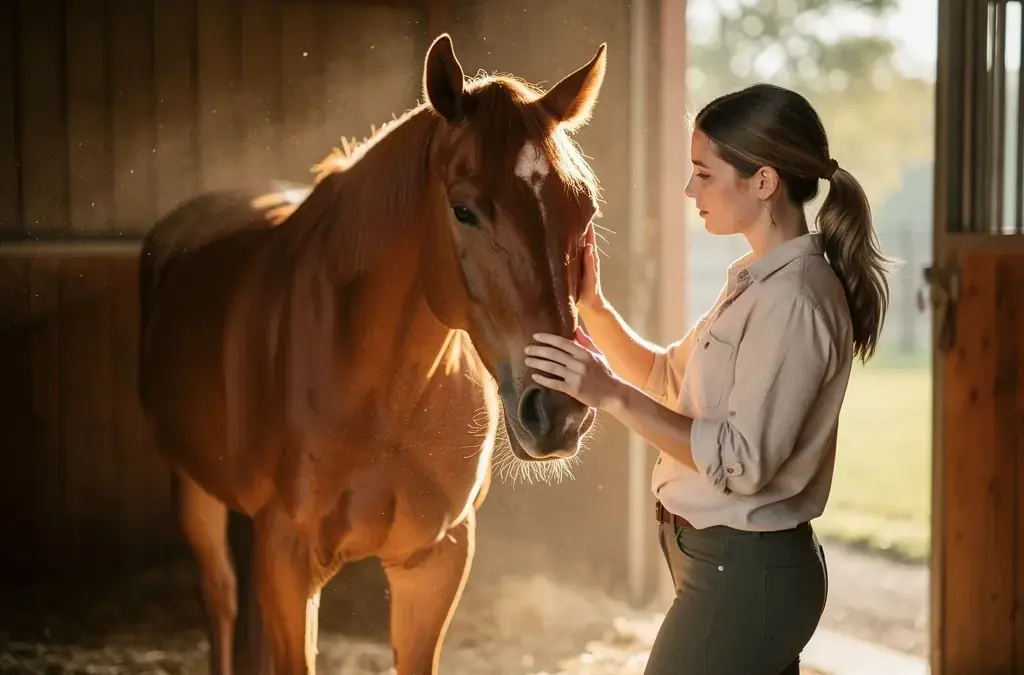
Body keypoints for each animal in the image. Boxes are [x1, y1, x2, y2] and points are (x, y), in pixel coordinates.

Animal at [137, 33, 607, 675]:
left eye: (584, 211)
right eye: (464, 210)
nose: (558, 412)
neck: (383, 394)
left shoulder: (435, 560)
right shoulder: (290, 558)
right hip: (193, 489)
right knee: (222, 599)